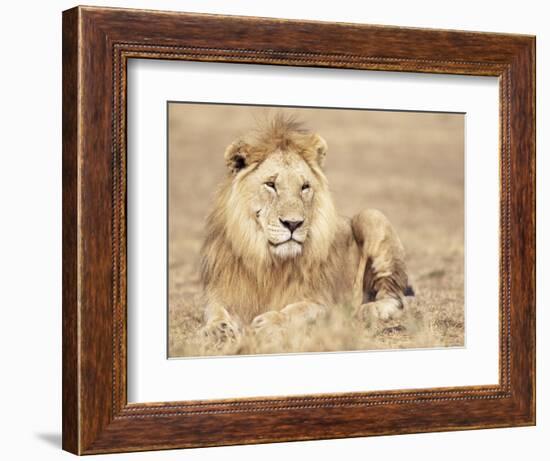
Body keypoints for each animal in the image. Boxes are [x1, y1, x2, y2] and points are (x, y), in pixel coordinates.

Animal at [201, 116, 412, 352]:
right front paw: (217, 329)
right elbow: (214, 310)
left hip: (372, 216)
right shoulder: (223, 291)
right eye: (271, 184)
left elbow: (299, 310)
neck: (268, 263)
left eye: (304, 187)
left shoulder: (323, 303)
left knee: (395, 297)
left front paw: (270, 322)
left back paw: (369, 310)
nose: (293, 224)